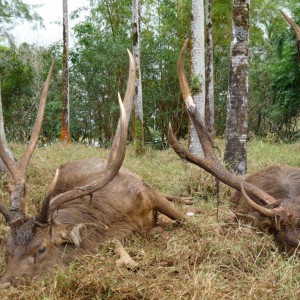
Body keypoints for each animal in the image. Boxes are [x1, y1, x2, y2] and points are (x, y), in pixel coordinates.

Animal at [0, 51, 185, 288]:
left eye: (41, 248)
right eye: (7, 248)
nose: (5, 284)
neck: (115, 216)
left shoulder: (145, 190)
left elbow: (184, 219)